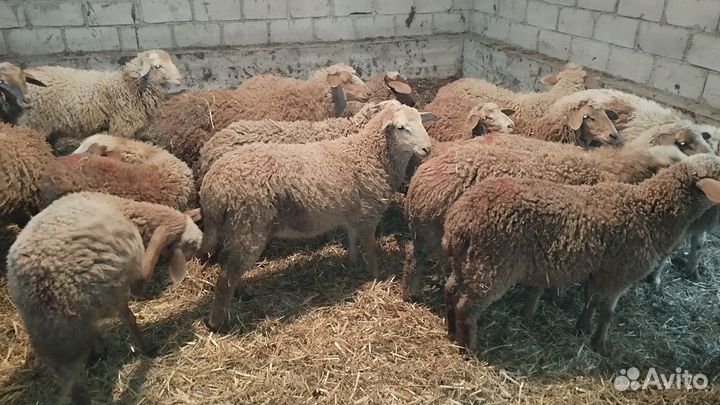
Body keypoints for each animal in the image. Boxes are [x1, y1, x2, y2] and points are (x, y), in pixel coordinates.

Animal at [6, 191, 202, 405]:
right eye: (193, 246)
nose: (201, 248)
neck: (125, 209)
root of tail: (38, 285)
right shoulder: (122, 274)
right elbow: (131, 309)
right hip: (89, 303)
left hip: (53, 336)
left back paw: (98, 350)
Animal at [199, 100, 434, 330]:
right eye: (400, 127)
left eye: (421, 121)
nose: (427, 148)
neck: (368, 153)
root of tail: (212, 186)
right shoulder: (369, 213)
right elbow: (370, 248)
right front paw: (376, 275)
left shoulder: (353, 213)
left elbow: (352, 240)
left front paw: (353, 263)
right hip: (248, 225)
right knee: (226, 276)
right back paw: (216, 322)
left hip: (236, 227)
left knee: (229, 264)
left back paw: (242, 294)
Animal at [441, 153, 720, 354]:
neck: (648, 211)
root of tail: (460, 221)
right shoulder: (619, 274)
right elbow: (608, 313)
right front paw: (600, 345)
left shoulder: (601, 272)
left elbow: (591, 302)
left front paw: (582, 329)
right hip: (492, 265)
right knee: (467, 306)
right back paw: (469, 348)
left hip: (467, 262)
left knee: (450, 290)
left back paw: (451, 331)